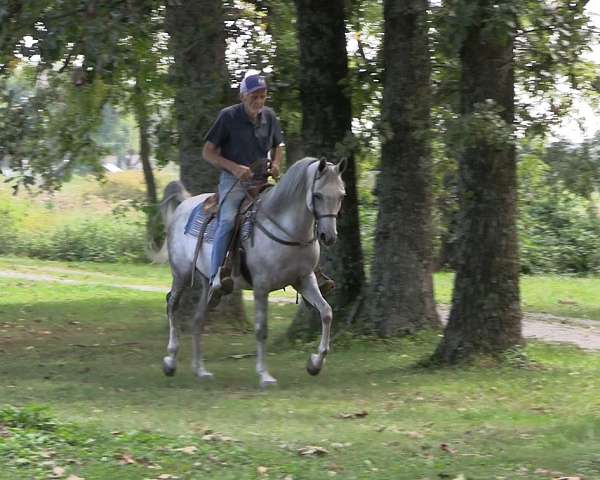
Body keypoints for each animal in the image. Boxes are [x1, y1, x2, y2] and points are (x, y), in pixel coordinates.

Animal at [157, 156, 344, 388]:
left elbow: (326, 312)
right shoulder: (261, 287)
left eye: (341, 195)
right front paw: (264, 375)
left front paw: (315, 364)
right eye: (317, 195)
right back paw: (170, 362)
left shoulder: (305, 280)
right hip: (181, 274)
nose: (329, 236)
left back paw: (200, 370)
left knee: (197, 319)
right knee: (172, 306)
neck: (286, 228)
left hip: (208, 285)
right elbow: (261, 329)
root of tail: (184, 205)